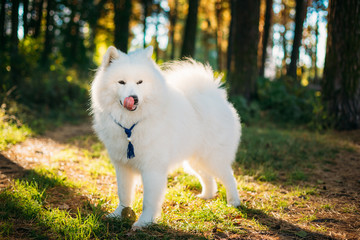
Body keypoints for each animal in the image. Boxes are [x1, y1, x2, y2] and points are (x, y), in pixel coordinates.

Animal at [90, 45, 242, 229]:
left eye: (140, 82)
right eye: (121, 82)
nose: (133, 98)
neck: (132, 124)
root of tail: (217, 97)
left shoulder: (152, 168)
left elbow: (149, 200)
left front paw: (144, 222)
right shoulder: (122, 165)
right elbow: (124, 193)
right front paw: (118, 214)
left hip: (212, 158)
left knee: (229, 177)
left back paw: (233, 202)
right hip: (194, 160)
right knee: (208, 178)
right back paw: (206, 195)